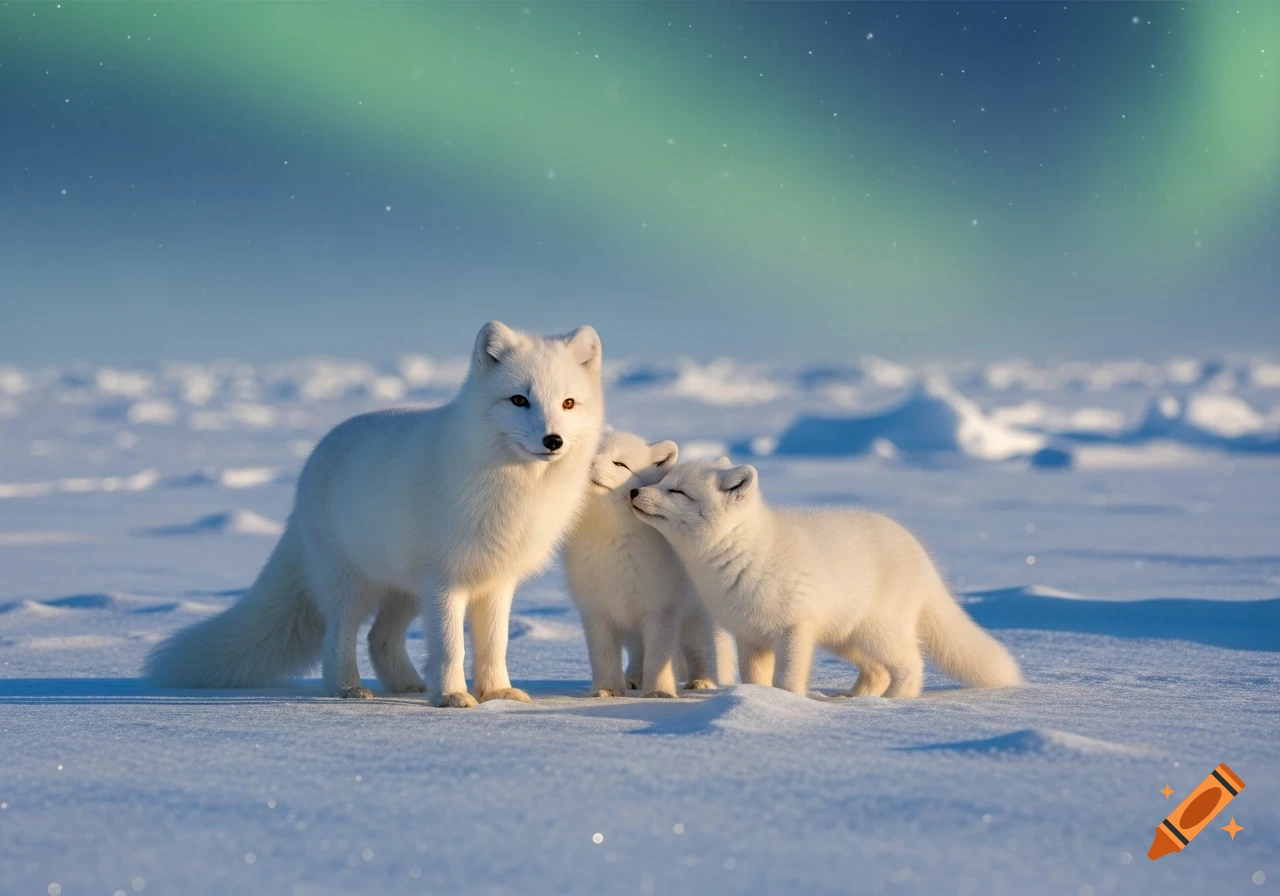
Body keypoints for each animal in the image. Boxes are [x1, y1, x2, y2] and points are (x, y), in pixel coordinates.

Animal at [144, 321, 605, 708]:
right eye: (518, 399)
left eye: (568, 403)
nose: (553, 440)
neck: (516, 487)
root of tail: (313, 460)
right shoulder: (445, 579)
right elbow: (450, 645)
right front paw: (452, 697)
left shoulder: (495, 580)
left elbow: (495, 644)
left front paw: (496, 694)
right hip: (351, 581)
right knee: (339, 637)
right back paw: (348, 688)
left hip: (403, 589)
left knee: (379, 638)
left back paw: (406, 685)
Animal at [563, 431, 733, 698]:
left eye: (620, 464)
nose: (588, 464)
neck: (610, 540)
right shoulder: (595, 608)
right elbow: (603, 655)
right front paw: (606, 691)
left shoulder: (662, 607)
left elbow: (659, 655)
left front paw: (659, 693)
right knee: (637, 653)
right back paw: (633, 679)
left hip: (697, 617)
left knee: (701, 649)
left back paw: (702, 682)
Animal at [629, 458, 1022, 699]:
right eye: (663, 481)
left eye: (677, 491)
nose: (633, 491)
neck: (743, 551)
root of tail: (922, 556)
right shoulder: (750, 634)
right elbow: (755, 676)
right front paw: (755, 700)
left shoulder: (795, 628)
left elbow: (786, 679)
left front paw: (784, 703)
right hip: (844, 638)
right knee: (877, 671)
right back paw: (855, 699)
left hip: (878, 632)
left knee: (911, 665)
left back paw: (894, 703)